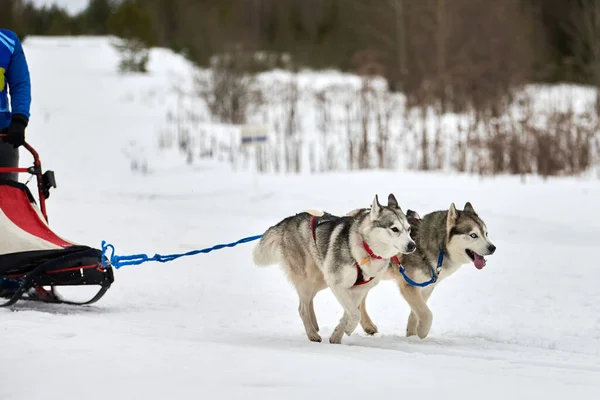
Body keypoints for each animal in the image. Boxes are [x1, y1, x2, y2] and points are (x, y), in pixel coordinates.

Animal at [253, 194, 418, 344]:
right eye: (394, 229)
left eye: (409, 229)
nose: (412, 245)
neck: (367, 250)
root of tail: (289, 220)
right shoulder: (337, 284)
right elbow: (355, 314)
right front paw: (349, 329)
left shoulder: (358, 289)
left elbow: (350, 313)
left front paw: (337, 335)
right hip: (309, 280)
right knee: (302, 308)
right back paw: (312, 333)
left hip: (321, 281)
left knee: (309, 300)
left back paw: (315, 324)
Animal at [356, 205, 496, 340]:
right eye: (473, 235)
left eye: (486, 233)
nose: (493, 248)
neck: (439, 248)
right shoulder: (409, 286)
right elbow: (427, 314)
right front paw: (422, 332)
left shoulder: (426, 287)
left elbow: (416, 313)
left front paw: (412, 335)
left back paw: (368, 326)